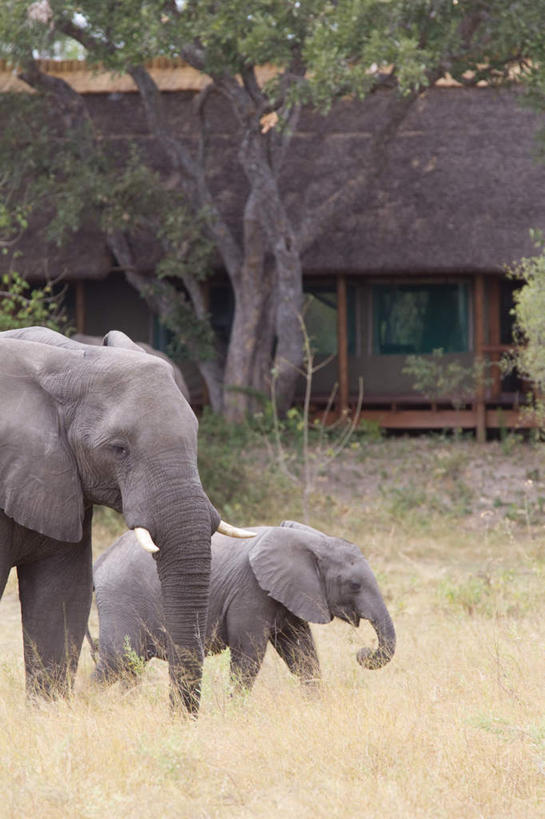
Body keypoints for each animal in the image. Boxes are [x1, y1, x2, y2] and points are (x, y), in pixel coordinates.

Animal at [88, 524, 396, 688]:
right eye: (355, 585)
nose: (363, 653)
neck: (312, 540)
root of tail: (99, 563)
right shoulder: (250, 593)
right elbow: (249, 655)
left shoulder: (289, 594)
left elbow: (302, 654)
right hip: (122, 601)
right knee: (116, 662)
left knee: (129, 667)